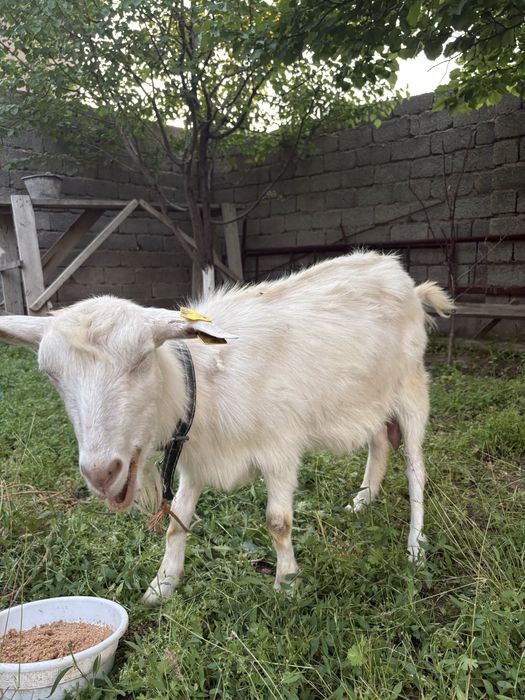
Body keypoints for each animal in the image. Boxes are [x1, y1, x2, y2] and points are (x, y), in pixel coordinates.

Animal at [0, 252, 453, 604]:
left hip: (412, 390)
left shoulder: (280, 449)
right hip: (370, 395)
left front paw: (286, 585)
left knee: (416, 468)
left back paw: (415, 547)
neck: (204, 380)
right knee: (379, 440)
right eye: (51, 375)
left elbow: (278, 522)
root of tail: (409, 284)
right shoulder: (195, 458)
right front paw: (162, 585)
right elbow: (177, 520)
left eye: (142, 358)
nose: (100, 474)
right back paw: (363, 500)